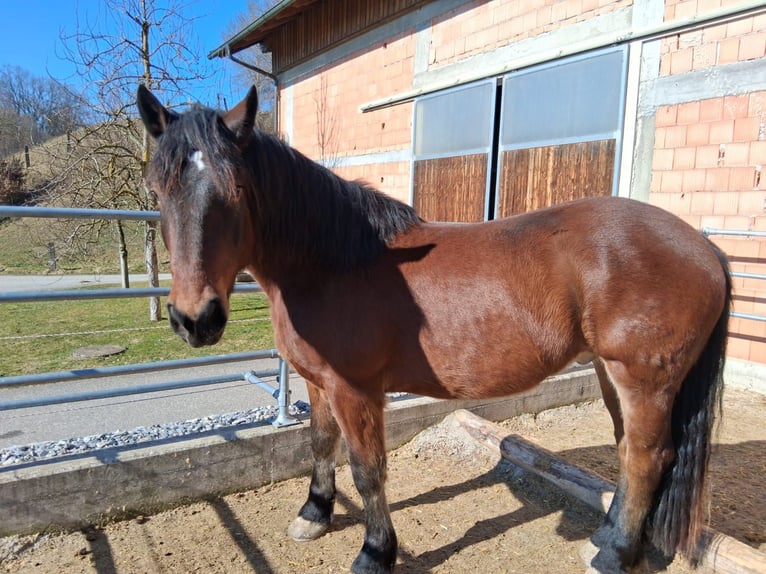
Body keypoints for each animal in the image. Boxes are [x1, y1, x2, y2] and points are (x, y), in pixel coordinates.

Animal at [137, 84, 731, 574]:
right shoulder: (316, 382)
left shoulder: (356, 391)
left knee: (647, 458)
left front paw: (375, 553)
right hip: (613, 375)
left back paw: (613, 556)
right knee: (630, 452)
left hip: (643, 380)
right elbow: (320, 443)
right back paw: (607, 540)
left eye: (237, 187)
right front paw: (314, 514)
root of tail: (703, 248)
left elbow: (368, 470)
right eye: (158, 190)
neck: (332, 261)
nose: (196, 319)